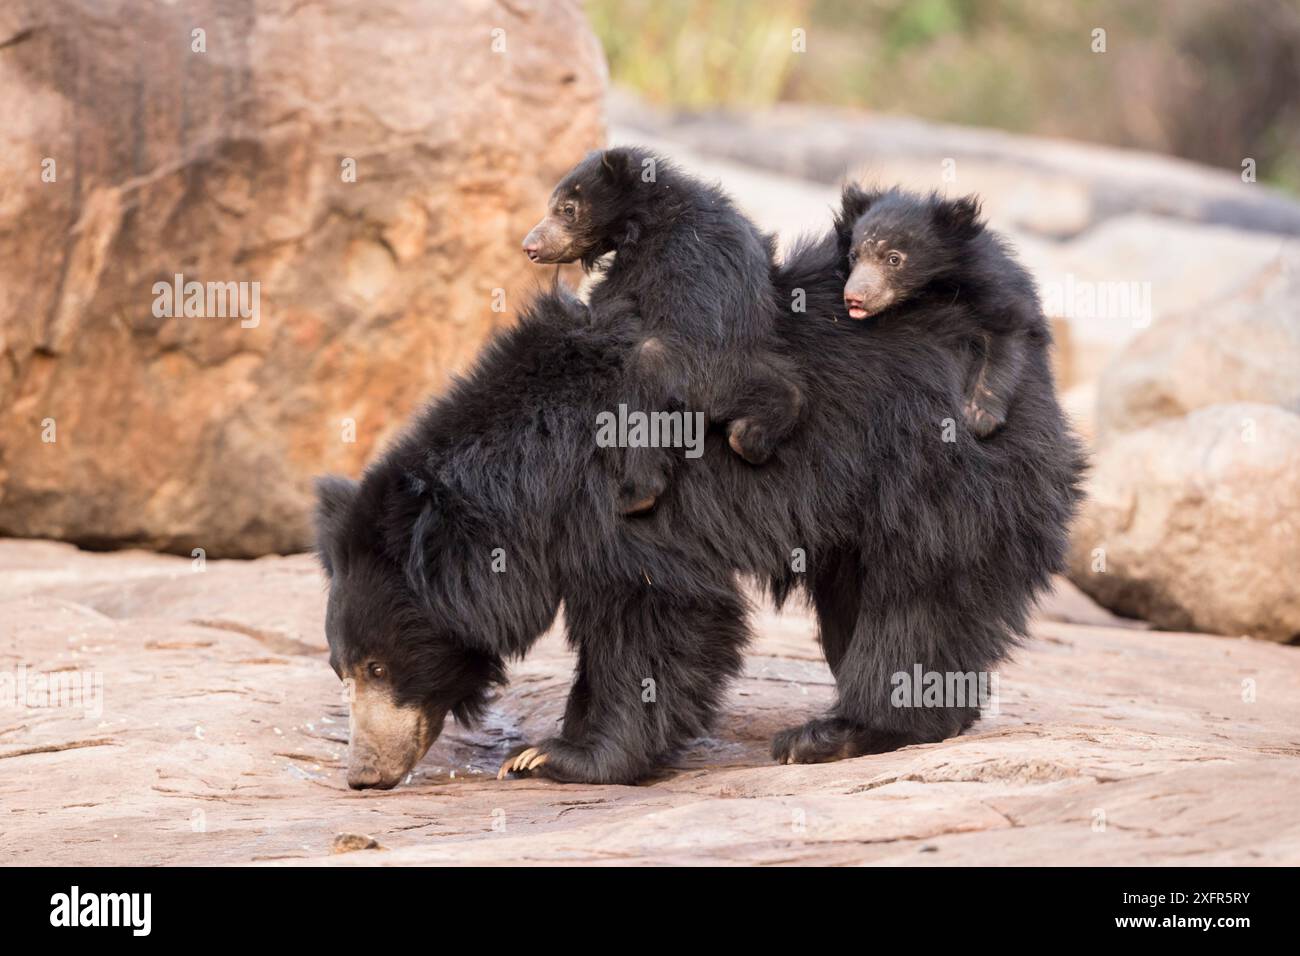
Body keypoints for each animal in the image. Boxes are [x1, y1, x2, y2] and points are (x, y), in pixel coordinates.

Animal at [317, 184, 1086, 785]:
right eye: (341, 668)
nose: (364, 774)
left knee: (918, 600)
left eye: (378, 667)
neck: (527, 475)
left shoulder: (620, 500)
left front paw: (558, 756)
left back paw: (836, 733)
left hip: (942, 473)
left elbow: (659, 614)